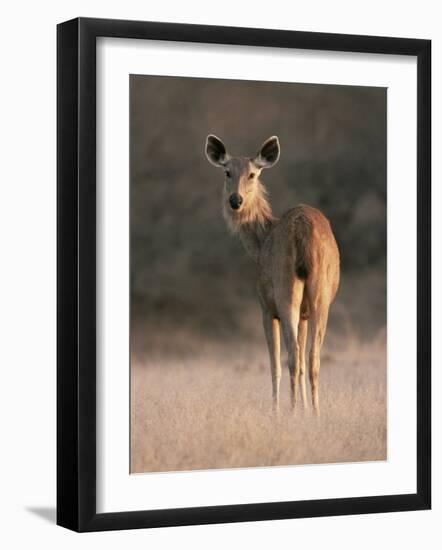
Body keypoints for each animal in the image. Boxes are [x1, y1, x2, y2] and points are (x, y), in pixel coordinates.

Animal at [205, 136, 340, 416]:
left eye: (253, 174)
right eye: (227, 172)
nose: (235, 200)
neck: (260, 241)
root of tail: (303, 229)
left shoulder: (266, 307)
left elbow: (274, 364)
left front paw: (277, 411)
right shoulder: (304, 314)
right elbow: (303, 360)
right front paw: (306, 410)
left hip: (284, 289)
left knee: (292, 356)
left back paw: (291, 411)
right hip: (320, 295)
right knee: (312, 357)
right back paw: (316, 413)